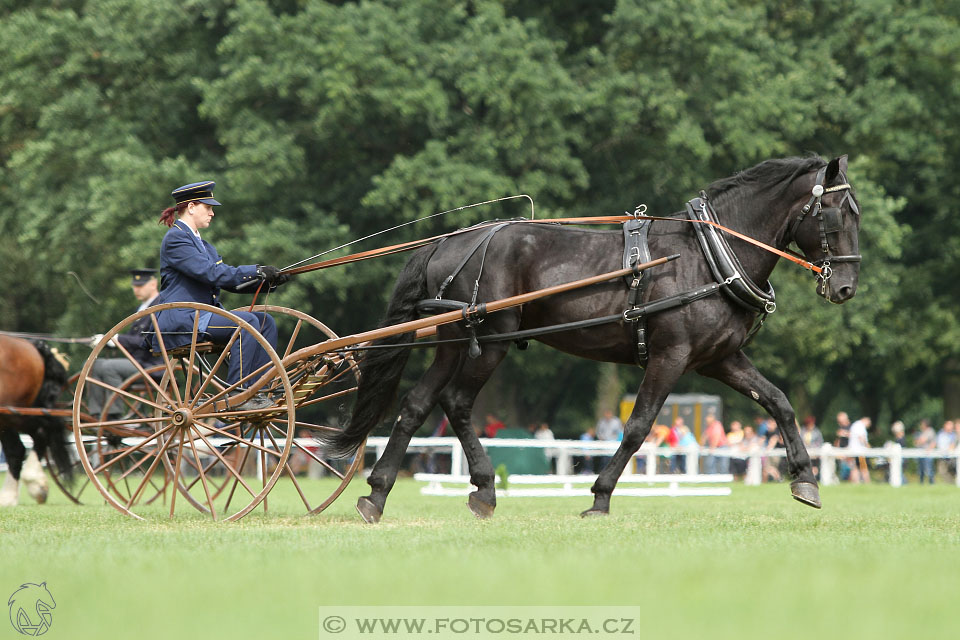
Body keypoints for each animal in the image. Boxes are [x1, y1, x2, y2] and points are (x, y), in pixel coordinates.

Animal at [324, 155, 864, 520]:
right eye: (839, 214)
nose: (845, 287)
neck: (708, 256)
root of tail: (451, 241)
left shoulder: (720, 359)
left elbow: (779, 403)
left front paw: (806, 480)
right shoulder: (670, 355)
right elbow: (639, 426)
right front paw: (600, 497)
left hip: (454, 341)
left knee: (416, 404)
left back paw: (377, 494)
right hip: (491, 340)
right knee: (456, 402)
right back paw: (482, 489)